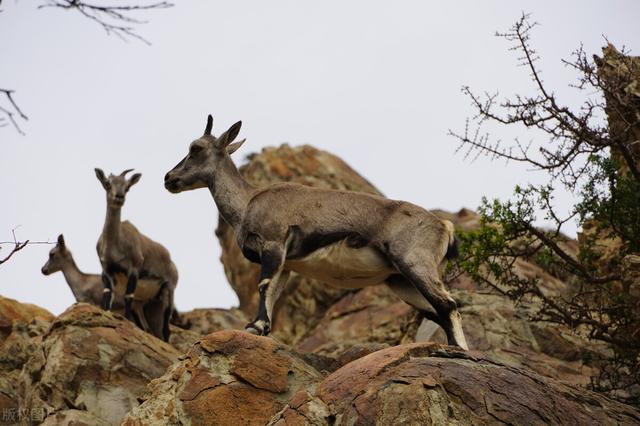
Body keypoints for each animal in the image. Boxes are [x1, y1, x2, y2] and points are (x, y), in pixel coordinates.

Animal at [94, 168, 178, 342]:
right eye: (108, 184)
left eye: (127, 187)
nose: (119, 197)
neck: (115, 244)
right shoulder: (106, 272)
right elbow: (107, 297)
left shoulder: (133, 268)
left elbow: (128, 296)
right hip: (142, 301)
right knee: (147, 328)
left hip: (169, 290)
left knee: (166, 329)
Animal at [162, 115, 468, 350]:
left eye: (196, 148)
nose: (168, 178)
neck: (247, 202)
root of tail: (444, 227)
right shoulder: (285, 264)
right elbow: (273, 292)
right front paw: (261, 329)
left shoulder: (273, 243)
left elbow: (263, 286)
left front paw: (254, 326)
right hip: (399, 279)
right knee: (437, 311)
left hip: (415, 263)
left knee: (448, 305)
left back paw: (458, 351)